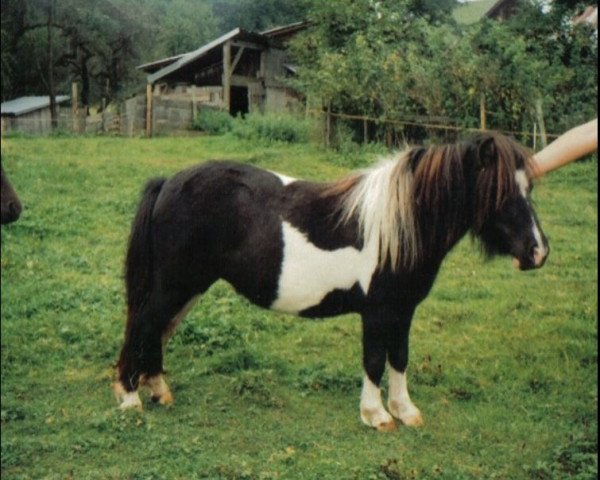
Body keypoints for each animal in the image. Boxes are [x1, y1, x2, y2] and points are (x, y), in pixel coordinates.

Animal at [113, 132, 548, 432]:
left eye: (528, 188)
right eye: (500, 192)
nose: (538, 252)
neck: (397, 227)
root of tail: (168, 182)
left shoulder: (402, 311)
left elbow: (399, 358)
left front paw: (405, 411)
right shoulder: (377, 312)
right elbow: (374, 360)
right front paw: (376, 415)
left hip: (189, 287)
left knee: (156, 329)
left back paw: (158, 389)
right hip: (174, 284)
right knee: (143, 323)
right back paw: (131, 398)